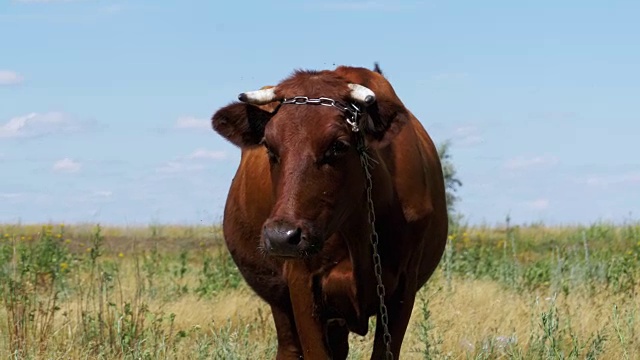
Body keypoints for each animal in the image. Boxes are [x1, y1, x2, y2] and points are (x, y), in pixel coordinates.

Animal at [212, 63, 448, 358]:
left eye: (338, 145)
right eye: (268, 146)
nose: (281, 236)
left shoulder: (403, 287)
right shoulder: (302, 284)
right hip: (281, 299)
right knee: (289, 346)